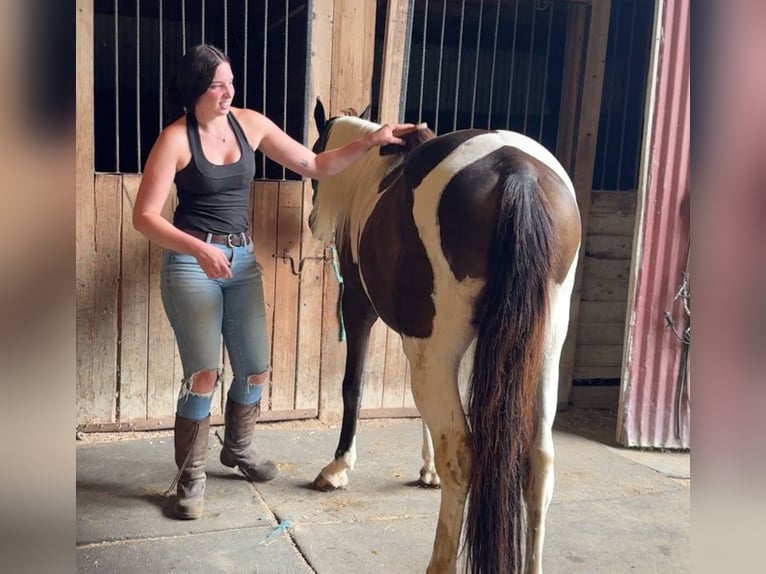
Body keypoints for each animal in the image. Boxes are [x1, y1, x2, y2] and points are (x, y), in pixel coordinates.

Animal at [306, 103, 584, 574]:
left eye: (316, 153)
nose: (312, 222)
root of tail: (517, 170)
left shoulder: (362, 310)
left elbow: (353, 388)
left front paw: (338, 468)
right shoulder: (423, 341)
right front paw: (428, 471)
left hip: (438, 350)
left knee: (463, 450)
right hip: (540, 351)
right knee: (540, 460)